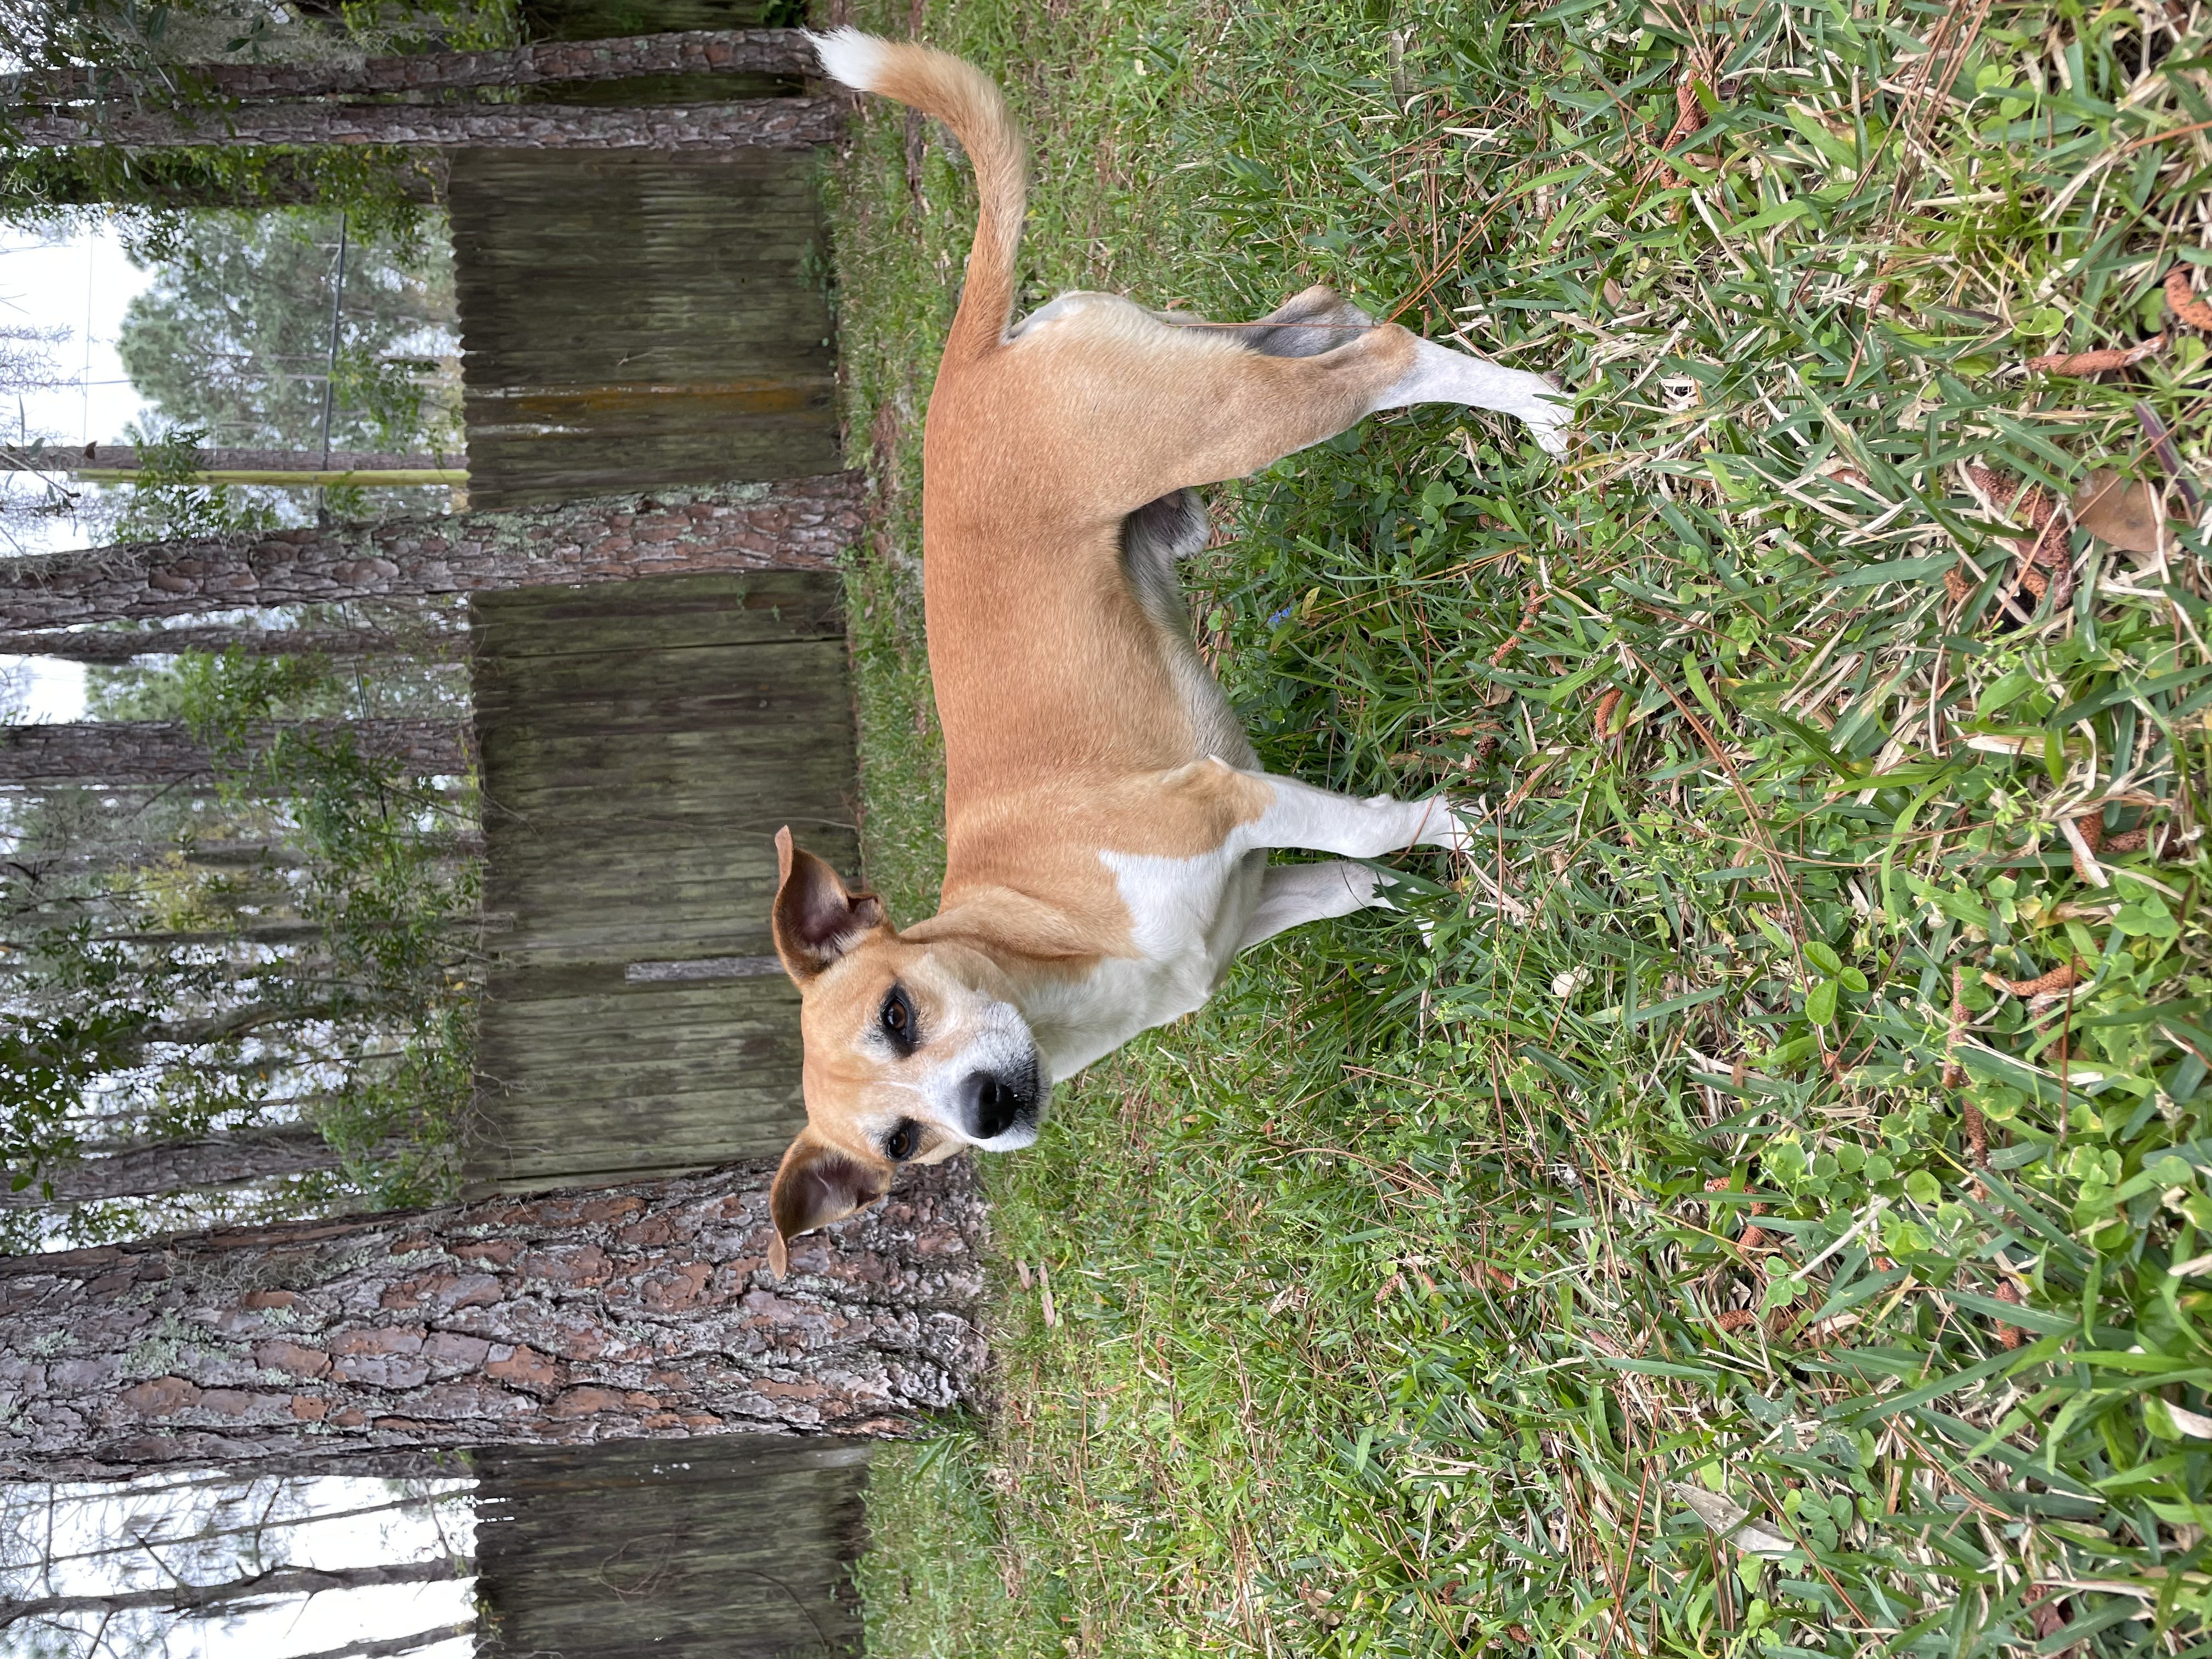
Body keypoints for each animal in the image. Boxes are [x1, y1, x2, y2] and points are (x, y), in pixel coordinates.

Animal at [770, 32, 1566, 1283]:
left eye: (896, 1011)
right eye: (901, 1143)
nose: (987, 1108)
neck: (1040, 931)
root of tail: (968, 362)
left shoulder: (1223, 798)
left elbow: (1378, 823)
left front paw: (1464, 828)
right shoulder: (1257, 893)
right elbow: (1364, 875)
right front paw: (1443, 901)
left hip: (1224, 419)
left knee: (1383, 354)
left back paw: (1529, 406)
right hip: (1209, 380)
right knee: (1328, 314)